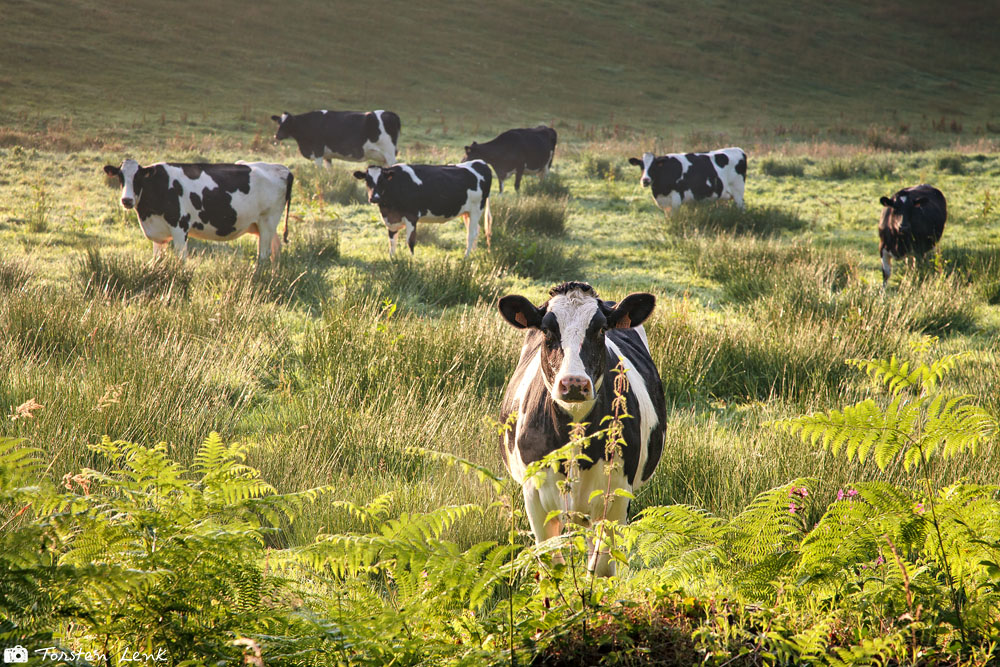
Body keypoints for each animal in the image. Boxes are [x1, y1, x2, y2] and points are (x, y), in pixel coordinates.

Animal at [104, 160, 292, 262]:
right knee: (276, 249)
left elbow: (181, 259)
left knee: (264, 255)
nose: (126, 200)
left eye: (138, 177)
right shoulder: (157, 231)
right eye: (120, 177)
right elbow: (157, 259)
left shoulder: (180, 227)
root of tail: (282, 169)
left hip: (267, 221)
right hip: (262, 225)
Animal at [274, 109, 402, 166]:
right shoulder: (327, 155)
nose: (277, 135)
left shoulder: (318, 150)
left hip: (390, 154)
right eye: (279, 122)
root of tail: (389, 113)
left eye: (288, 123)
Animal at [354, 160, 494, 258]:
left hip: (476, 209)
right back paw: (473, 254)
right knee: (476, 230)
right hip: (466, 212)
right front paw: (392, 259)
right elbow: (392, 241)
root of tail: (481, 163)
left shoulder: (411, 217)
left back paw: (466, 258)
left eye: (382, 180)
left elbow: (410, 241)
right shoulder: (391, 219)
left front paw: (411, 261)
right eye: (367, 180)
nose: (374, 198)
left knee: (471, 233)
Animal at [498, 282, 664, 580]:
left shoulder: (615, 495)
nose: (574, 383)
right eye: (547, 330)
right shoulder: (534, 498)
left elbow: (600, 569)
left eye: (600, 329)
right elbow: (551, 567)